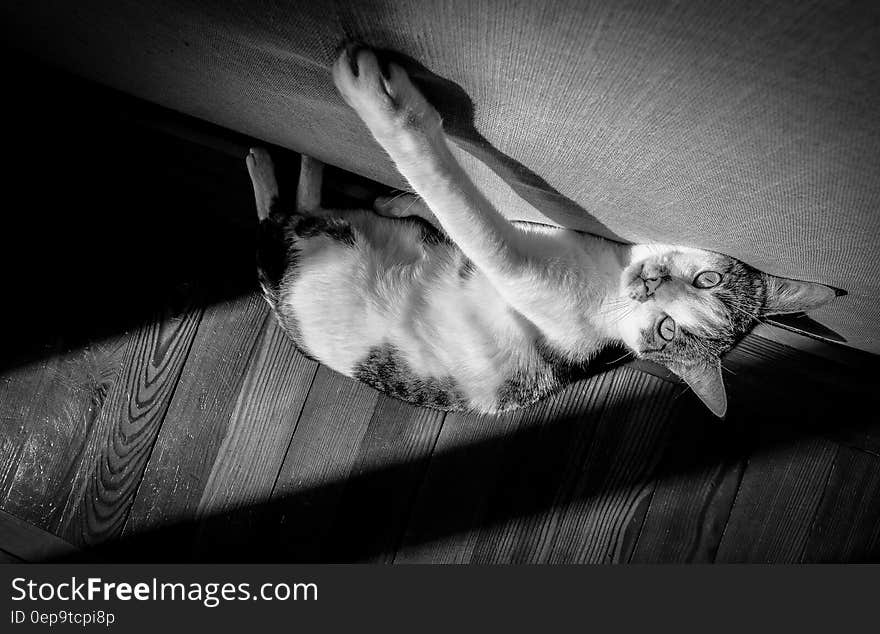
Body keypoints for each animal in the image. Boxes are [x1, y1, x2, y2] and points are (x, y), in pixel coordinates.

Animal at [244, 45, 844, 420]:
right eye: (708, 279)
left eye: (667, 330)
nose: (650, 285)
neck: (610, 271)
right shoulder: (539, 226)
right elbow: (455, 211)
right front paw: (397, 199)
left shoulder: (518, 268)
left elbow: (460, 202)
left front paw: (384, 104)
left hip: (295, 249)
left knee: (277, 222)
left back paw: (274, 167)